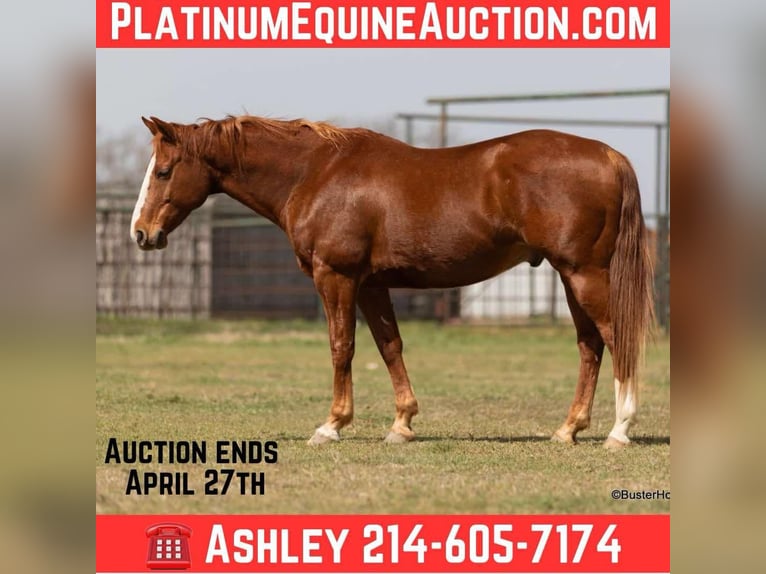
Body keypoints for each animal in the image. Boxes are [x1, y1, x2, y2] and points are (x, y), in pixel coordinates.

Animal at [131, 115, 654, 449]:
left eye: (164, 171)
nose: (141, 233)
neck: (316, 173)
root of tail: (609, 155)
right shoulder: (370, 284)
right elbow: (389, 346)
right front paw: (402, 424)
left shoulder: (336, 277)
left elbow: (341, 346)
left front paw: (332, 425)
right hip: (571, 276)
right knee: (590, 345)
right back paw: (569, 429)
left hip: (583, 273)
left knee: (615, 338)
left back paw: (619, 431)